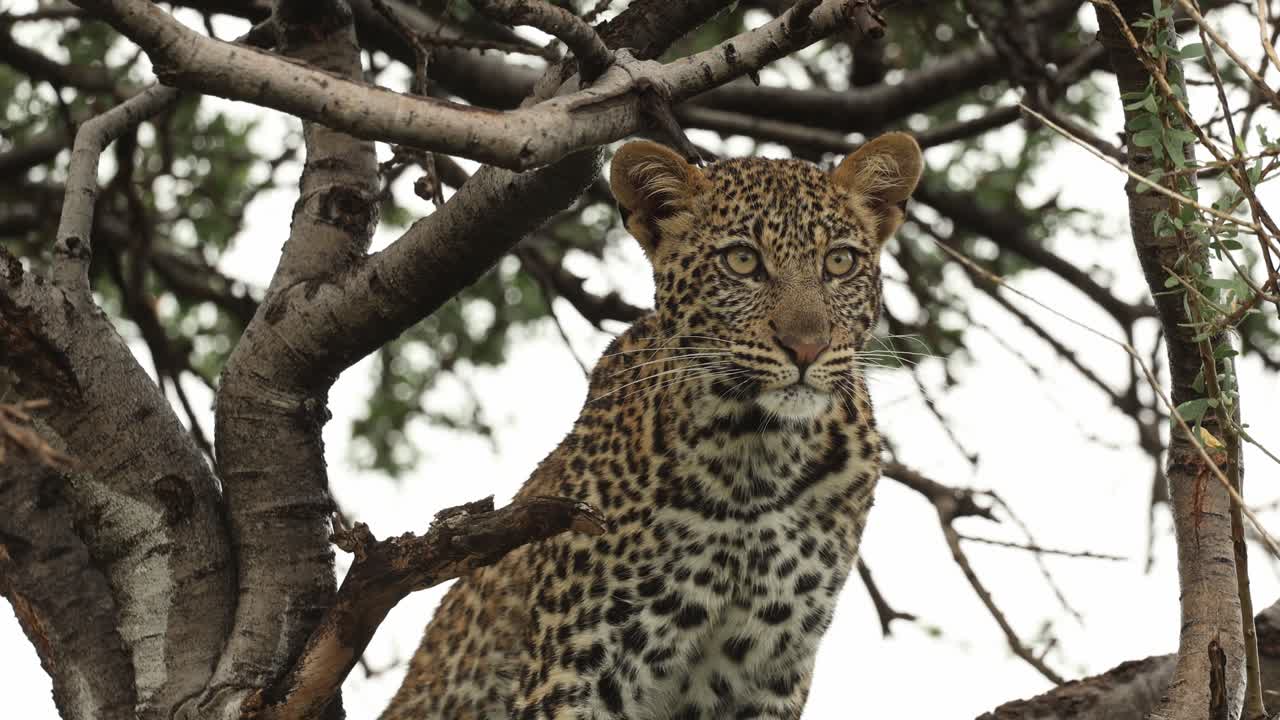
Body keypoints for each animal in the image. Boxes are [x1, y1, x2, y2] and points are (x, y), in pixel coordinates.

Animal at [380, 131, 924, 720]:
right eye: (741, 260)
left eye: (839, 262)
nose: (808, 348)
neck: (756, 460)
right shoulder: (577, 664)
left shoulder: (772, 668)